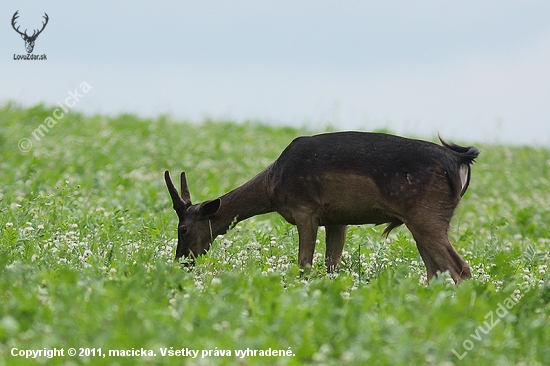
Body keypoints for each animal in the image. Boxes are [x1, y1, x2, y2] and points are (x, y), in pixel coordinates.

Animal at [166, 132, 480, 284]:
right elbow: (331, 265)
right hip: (422, 221)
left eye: (183, 229)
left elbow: (304, 263)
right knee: (435, 272)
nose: (181, 261)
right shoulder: (337, 218)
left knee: (460, 269)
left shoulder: (305, 209)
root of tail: (460, 160)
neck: (272, 186)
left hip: (427, 215)